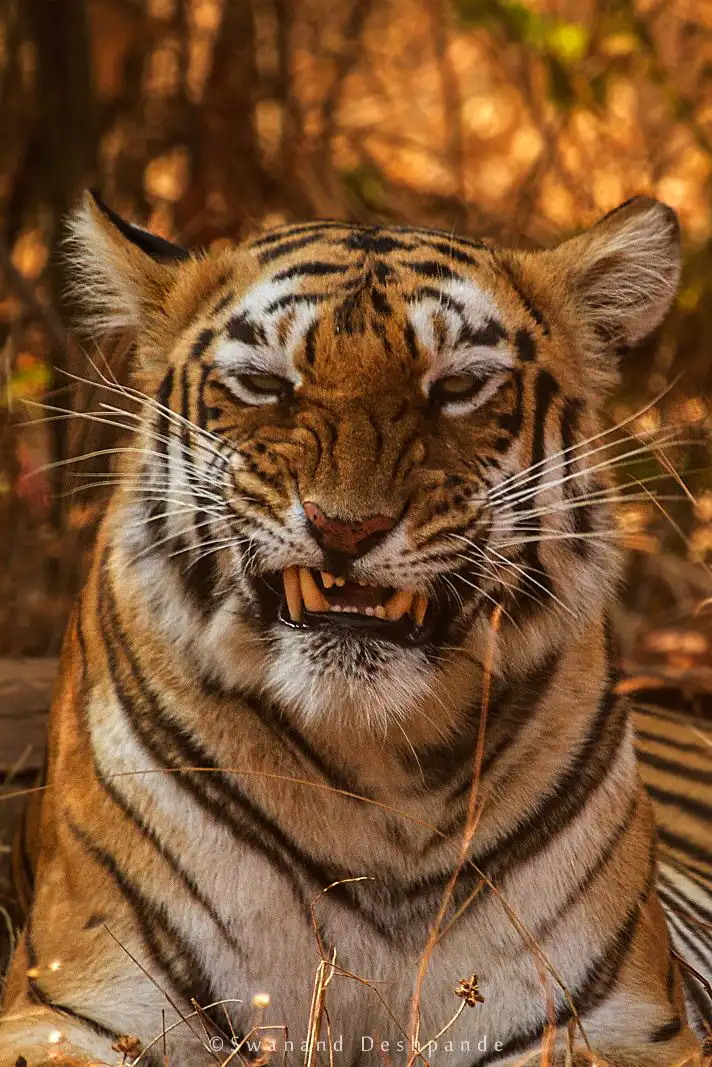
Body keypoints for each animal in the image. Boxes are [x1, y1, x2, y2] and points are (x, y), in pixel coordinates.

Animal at [1, 191, 710, 1066]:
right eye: (265, 384)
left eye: (459, 386)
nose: (346, 527)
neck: (380, 781)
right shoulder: (78, 1003)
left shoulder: (617, 1023)